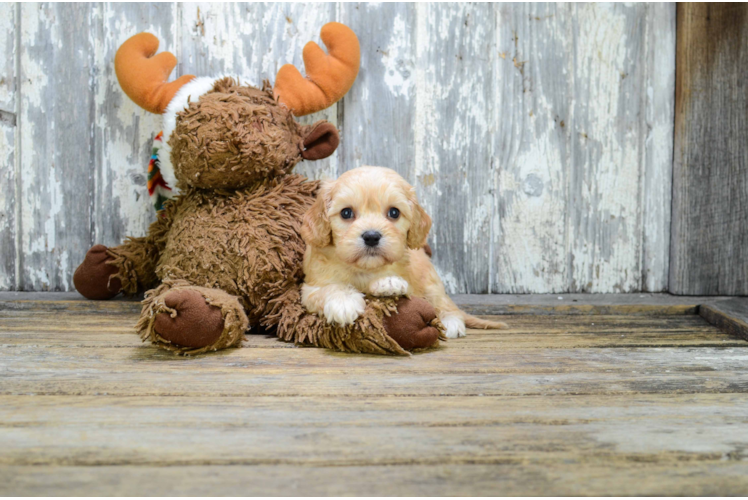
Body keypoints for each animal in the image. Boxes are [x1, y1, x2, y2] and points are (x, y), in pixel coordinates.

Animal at [300, 166, 506, 338]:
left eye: (394, 213)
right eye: (346, 213)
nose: (372, 236)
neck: (364, 269)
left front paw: (388, 282)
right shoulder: (310, 289)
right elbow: (330, 288)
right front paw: (344, 302)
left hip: (431, 282)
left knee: (443, 302)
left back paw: (451, 322)